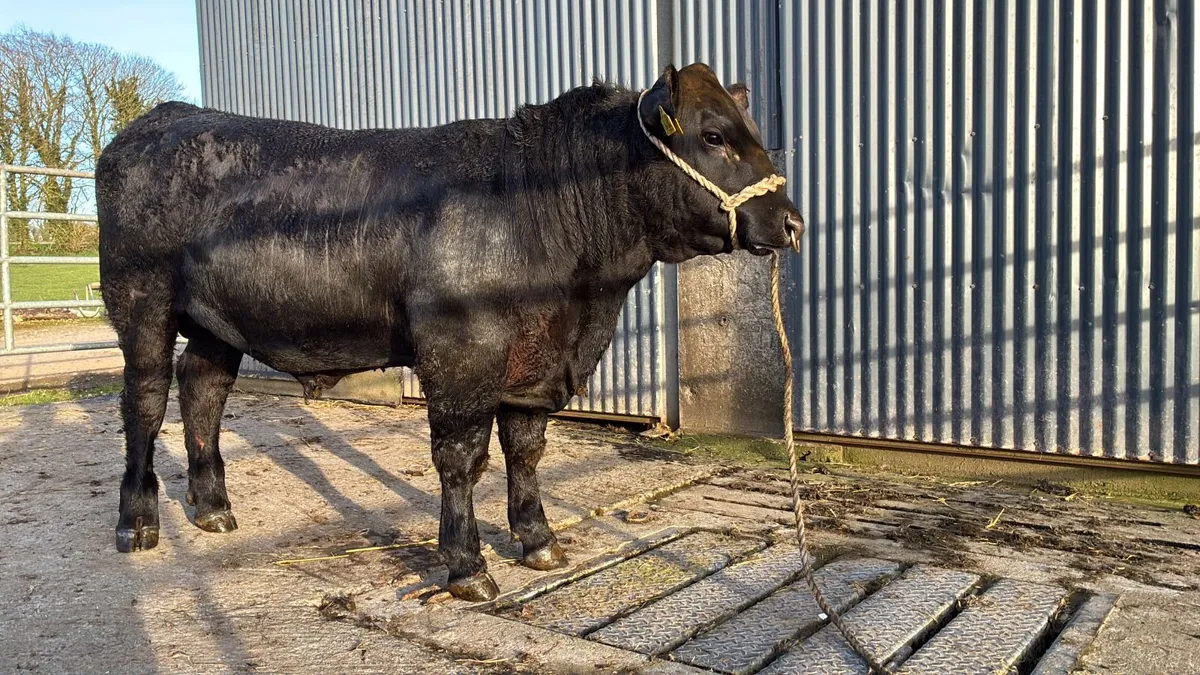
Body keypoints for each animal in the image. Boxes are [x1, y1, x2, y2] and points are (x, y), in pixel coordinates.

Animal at [96, 63, 804, 601]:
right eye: (713, 135)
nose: (791, 222)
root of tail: (162, 117)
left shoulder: (535, 362)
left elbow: (525, 450)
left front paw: (538, 540)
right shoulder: (461, 354)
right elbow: (462, 457)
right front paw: (467, 566)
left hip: (217, 321)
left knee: (203, 390)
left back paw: (214, 508)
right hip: (141, 302)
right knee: (145, 402)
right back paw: (138, 523)